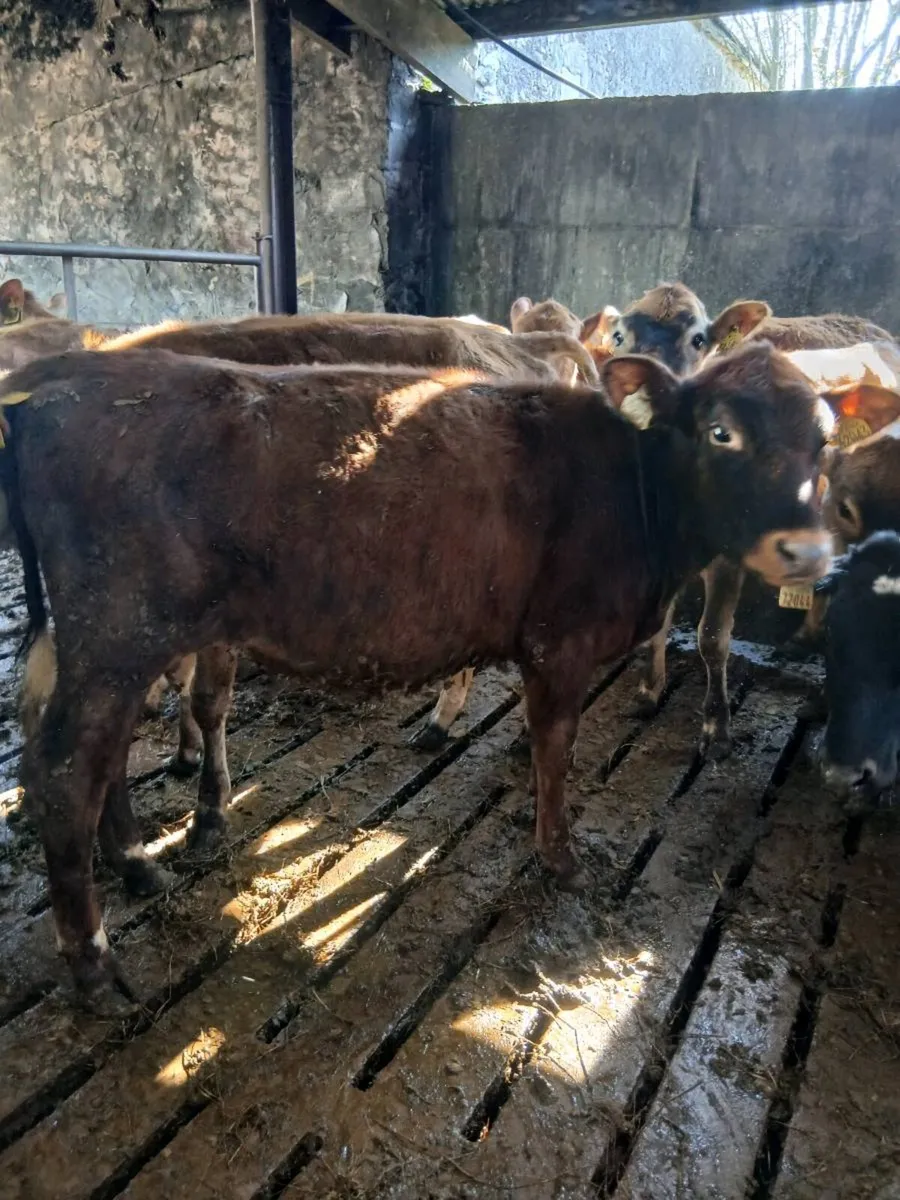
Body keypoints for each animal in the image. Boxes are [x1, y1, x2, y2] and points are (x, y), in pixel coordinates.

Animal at [0, 339, 830, 1010]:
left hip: (106, 647)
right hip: (118, 635)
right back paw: (94, 968)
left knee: (98, 758)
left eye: (823, 440)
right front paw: (560, 857)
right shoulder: (560, 642)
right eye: (722, 431)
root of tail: (64, 377)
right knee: (63, 773)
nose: (808, 551)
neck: (636, 492)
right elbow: (555, 749)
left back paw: (137, 866)